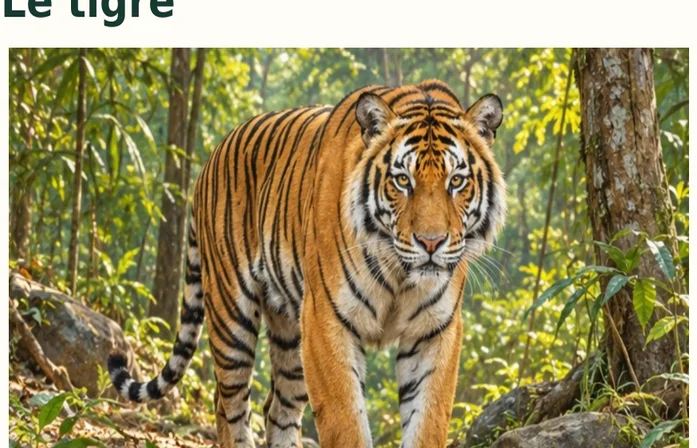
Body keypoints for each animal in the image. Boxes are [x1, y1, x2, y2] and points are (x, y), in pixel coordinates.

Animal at [108, 79, 506, 448]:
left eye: (457, 181)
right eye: (402, 180)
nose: (431, 242)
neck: (400, 274)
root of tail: (209, 159)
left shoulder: (435, 330)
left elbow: (427, 422)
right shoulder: (327, 321)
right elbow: (347, 423)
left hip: (290, 334)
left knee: (277, 409)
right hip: (231, 316)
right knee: (230, 406)